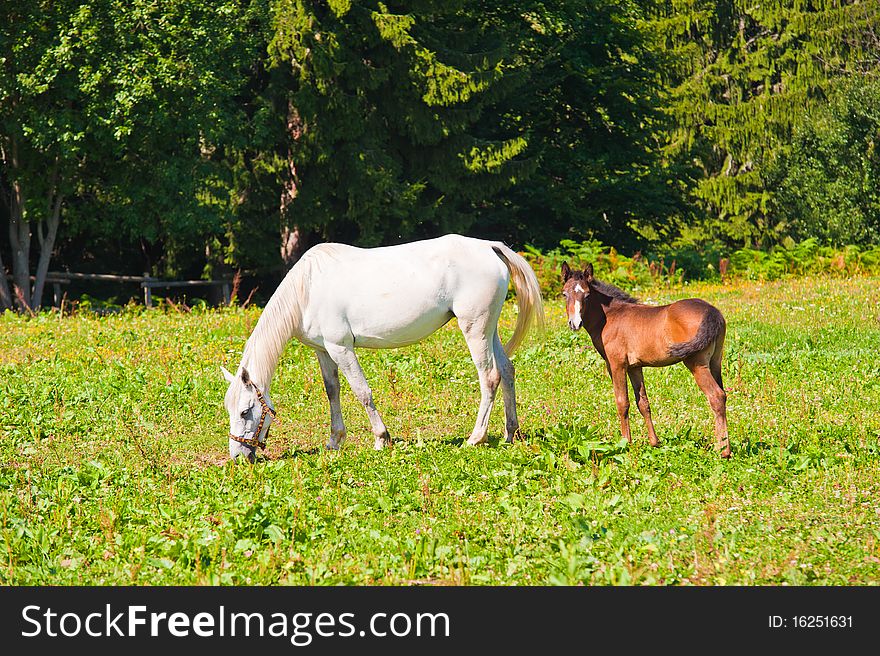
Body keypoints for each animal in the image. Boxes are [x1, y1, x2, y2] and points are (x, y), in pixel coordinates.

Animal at [220, 234, 544, 462]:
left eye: (246, 411)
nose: (238, 457)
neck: (307, 288)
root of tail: (489, 247)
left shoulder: (341, 348)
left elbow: (362, 392)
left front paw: (381, 439)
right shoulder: (323, 351)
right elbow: (332, 391)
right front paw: (334, 441)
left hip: (474, 329)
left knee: (489, 377)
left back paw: (476, 438)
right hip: (488, 330)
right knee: (507, 370)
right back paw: (510, 433)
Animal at [564, 262, 728, 456]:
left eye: (587, 295)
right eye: (564, 294)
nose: (575, 323)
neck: (611, 317)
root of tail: (712, 311)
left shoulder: (616, 365)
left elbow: (622, 402)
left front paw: (625, 443)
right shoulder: (635, 367)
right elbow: (643, 403)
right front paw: (654, 442)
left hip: (697, 364)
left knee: (716, 396)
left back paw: (723, 451)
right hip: (715, 362)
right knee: (723, 395)